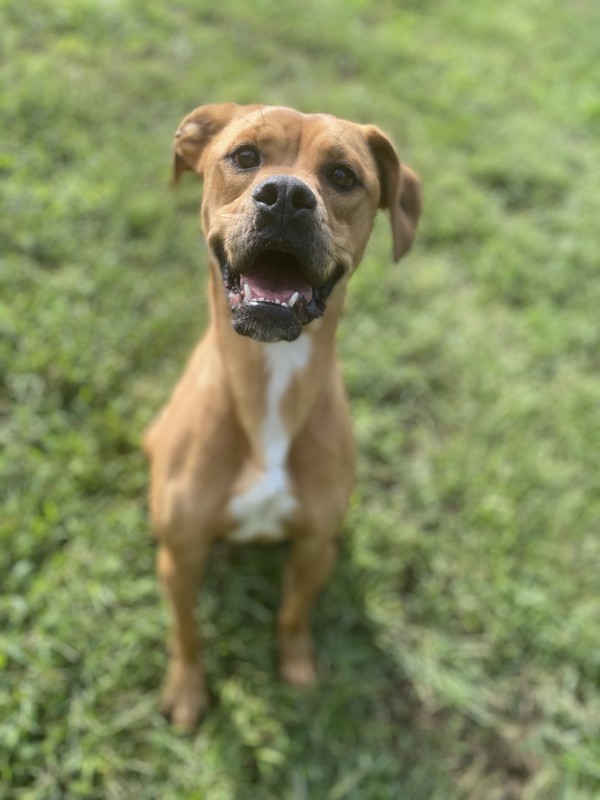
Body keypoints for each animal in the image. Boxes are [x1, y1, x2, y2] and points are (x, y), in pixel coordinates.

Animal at [142, 103, 420, 728]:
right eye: (245, 156)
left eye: (343, 176)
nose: (287, 197)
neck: (272, 378)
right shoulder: (181, 556)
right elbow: (187, 631)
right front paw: (187, 692)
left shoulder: (315, 546)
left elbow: (293, 612)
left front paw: (296, 666)